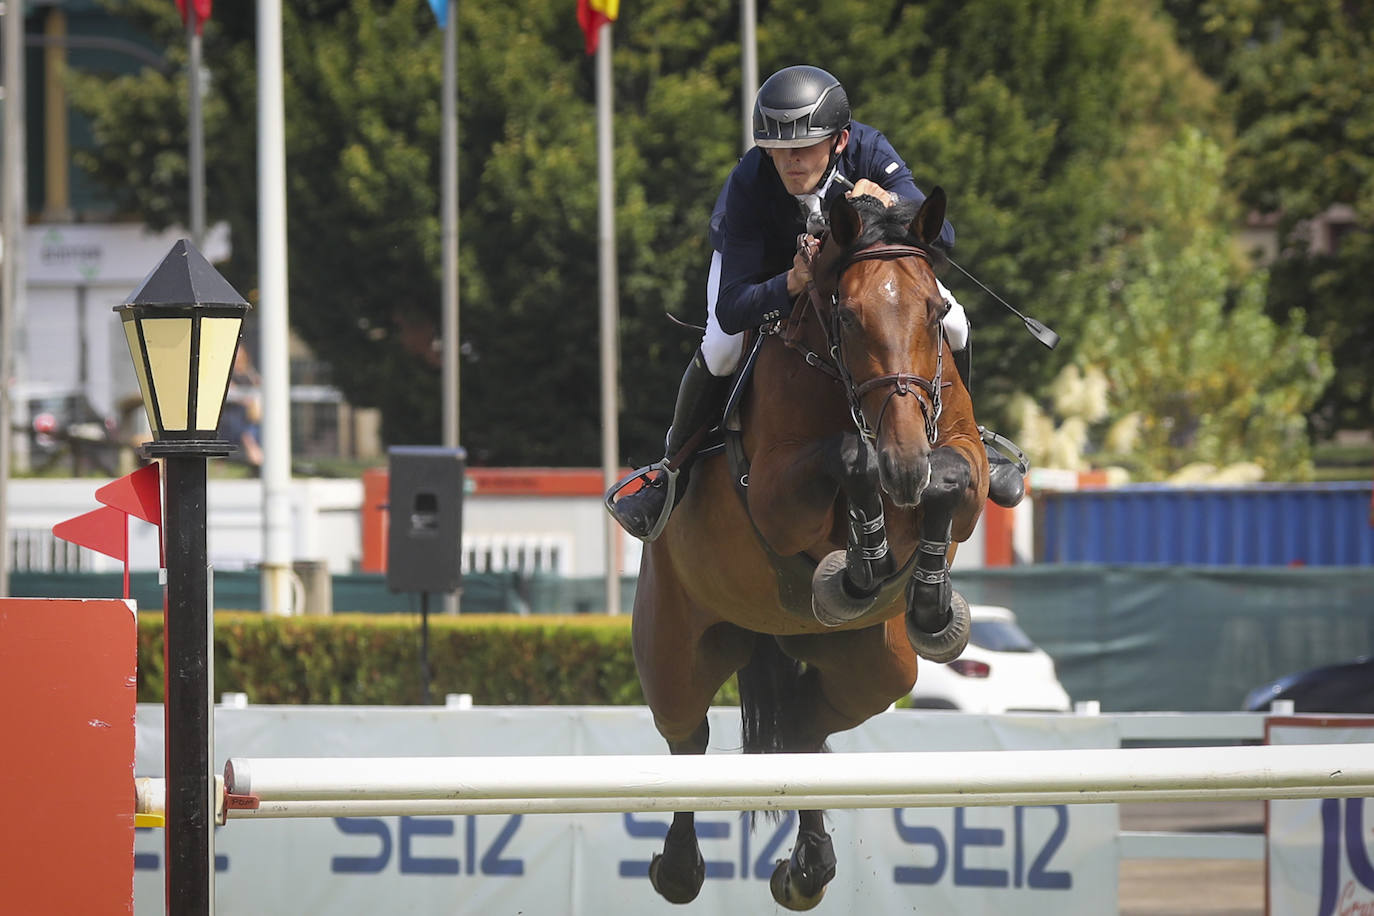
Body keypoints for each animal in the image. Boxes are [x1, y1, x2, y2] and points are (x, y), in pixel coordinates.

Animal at [632, 188, 989, 911]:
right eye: (846, 318)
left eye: (936, 312)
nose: (904, 463)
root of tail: (774, 631)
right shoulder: (773, 494)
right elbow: (850, 457)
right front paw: (860, 563)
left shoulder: (966, 464)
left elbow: (950, 476)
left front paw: (929, 603)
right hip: (672, 647)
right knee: (687, 736)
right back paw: (679, 870)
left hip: (877, 670)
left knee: (801, 732)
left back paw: (806, 870)